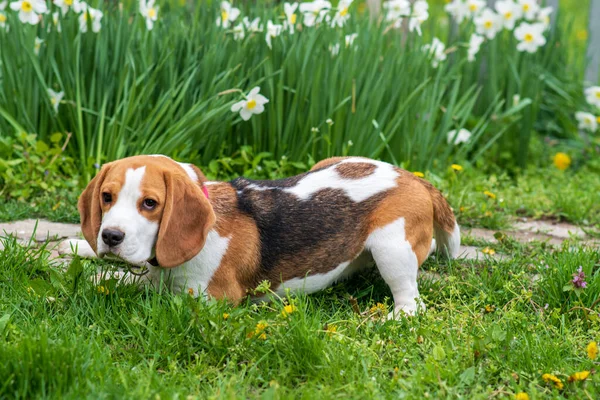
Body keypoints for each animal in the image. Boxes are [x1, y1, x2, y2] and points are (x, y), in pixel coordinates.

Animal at [63, 155, 462, 318]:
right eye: (106, 197)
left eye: (150, 203)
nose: (110, 236)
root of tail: (412, 177)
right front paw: (82, 248)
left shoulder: (210, 300)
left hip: (391, 246)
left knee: (411, 302)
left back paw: (389, 317)